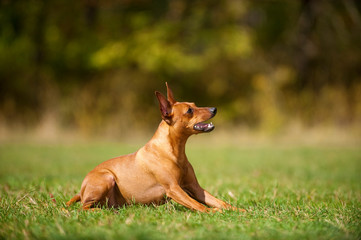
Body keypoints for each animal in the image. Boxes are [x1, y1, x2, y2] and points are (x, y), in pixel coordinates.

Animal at [66, 83, 243, 213]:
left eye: (194, 104)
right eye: (189, 110)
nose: (214, 109)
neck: (173, 151)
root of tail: (81, 190)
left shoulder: (196, 188)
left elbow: (220, 202)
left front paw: (238, 210)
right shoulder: (173, 189)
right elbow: (199, 206)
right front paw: (214, 212)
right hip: (106, 178)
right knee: (84, 208)